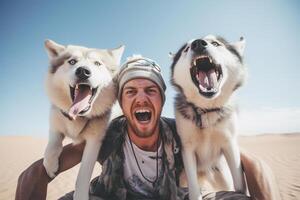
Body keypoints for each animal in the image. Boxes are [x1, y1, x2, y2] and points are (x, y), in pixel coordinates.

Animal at [42, 39, 123, 199]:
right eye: (72, 61)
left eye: (97, 63)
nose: (83, 71)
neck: (77, 117)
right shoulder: (55, 125)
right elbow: (51, 147)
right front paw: (50, 166)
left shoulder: (94, 141)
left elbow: (83, 175)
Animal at [172, 35, 247, 199]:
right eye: (186, 49)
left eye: (215, 43)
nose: (198, 43)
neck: (206, 110)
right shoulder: (187, 149)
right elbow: (194, 190)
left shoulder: (230, 143)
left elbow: (239, 183)